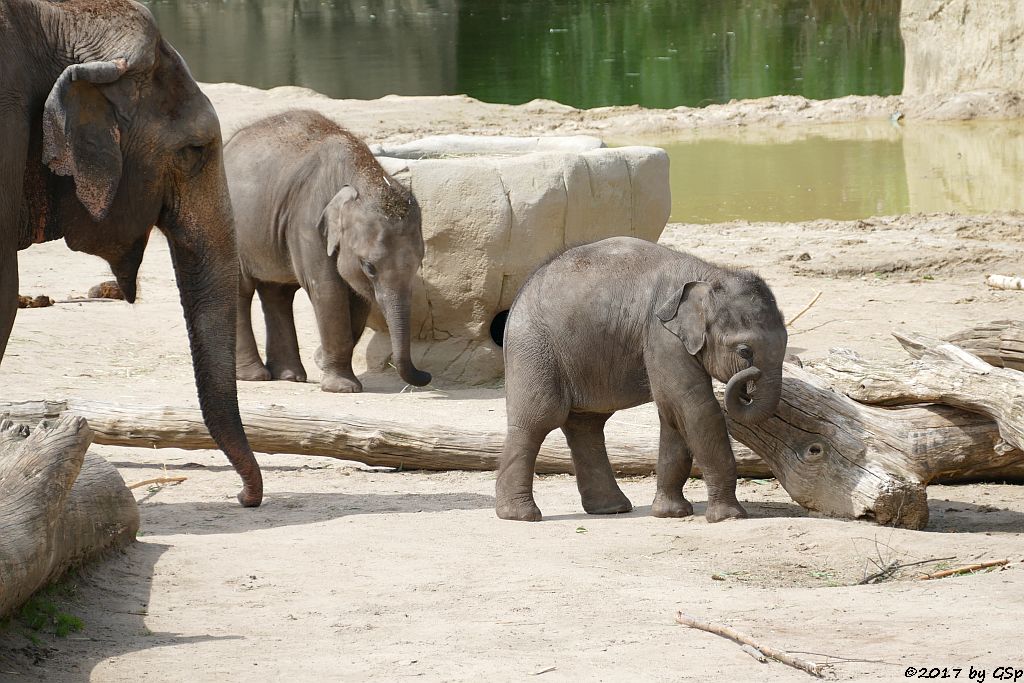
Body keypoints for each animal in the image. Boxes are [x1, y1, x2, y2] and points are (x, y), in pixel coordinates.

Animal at [226, 109, 430, 393]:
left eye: (418, 264)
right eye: (369, 267)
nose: (426, 375)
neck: (363, 174)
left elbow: (357, 297)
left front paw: (321, 360)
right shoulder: (307, 221)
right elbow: (328, 290)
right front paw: (343, 388)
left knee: (277, 292)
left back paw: (290, 376)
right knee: (240, 288)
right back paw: (254, 376)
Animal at [499, 236, 786, 524]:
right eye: (745, 351)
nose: (746, 385)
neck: (709, 274)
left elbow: (673, 414)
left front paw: (670, 513)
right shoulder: (662, 336)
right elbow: (695, 409)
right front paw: (729, 517)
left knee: (587, 425)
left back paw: (611, 508)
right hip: (534, 348)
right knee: (539, 419)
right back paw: (521, 515)